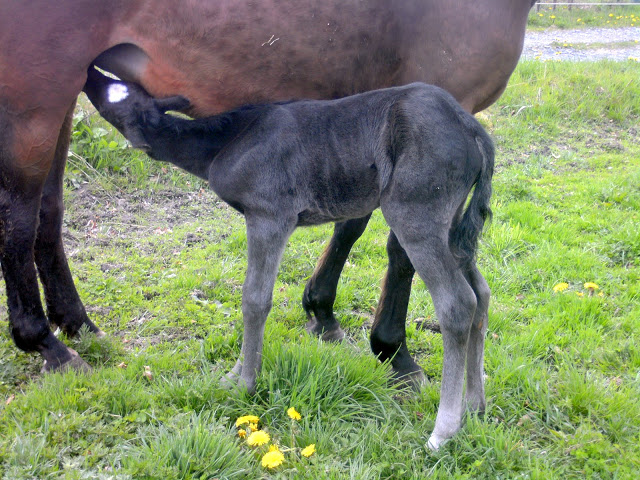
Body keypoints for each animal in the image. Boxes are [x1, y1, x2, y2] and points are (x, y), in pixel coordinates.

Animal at [0, 0, 536, 378]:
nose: (100, 79)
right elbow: (393, 246)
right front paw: (393, 350)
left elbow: (354, 221)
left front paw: (323, 312)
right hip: (37, 97)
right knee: (18, 214)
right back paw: (45, 342)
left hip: (59, 94)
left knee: (48, 209)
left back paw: (76, 323)